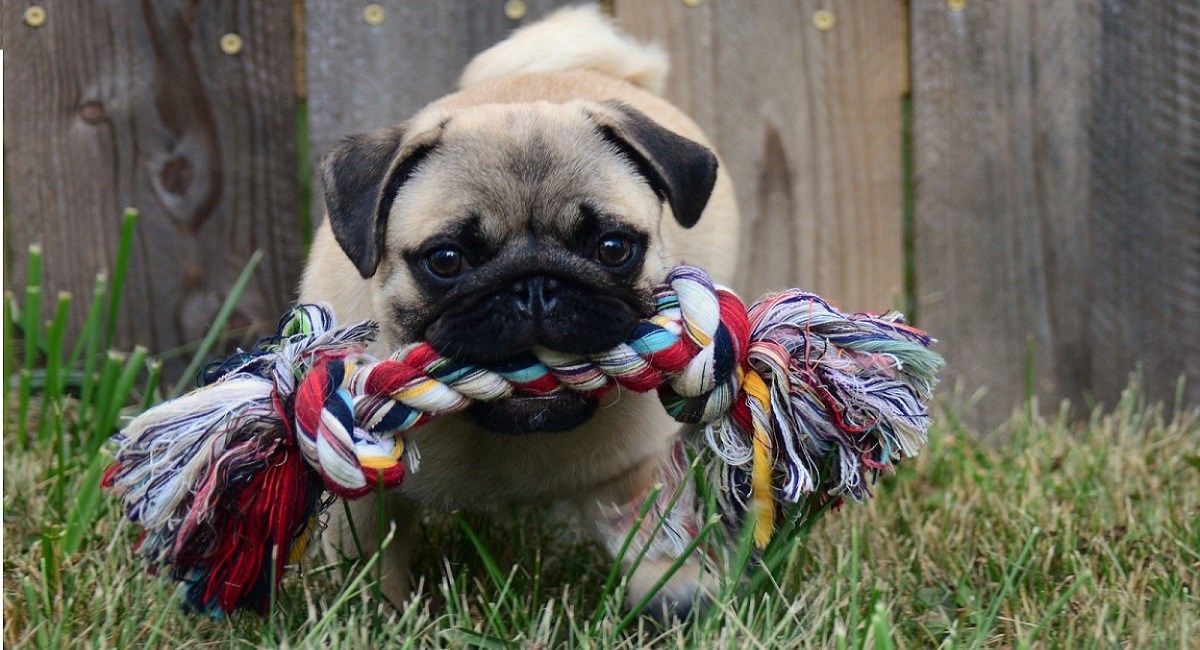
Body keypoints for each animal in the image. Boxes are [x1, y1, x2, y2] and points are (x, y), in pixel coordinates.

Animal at [300, 7, 734, 623]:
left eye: (612, 248)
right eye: (447, 260)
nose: (534, 286)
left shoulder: (636, 467)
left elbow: (656, 533)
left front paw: (677, 599)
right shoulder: (358, 495)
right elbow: (369, 560)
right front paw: (375, 617)